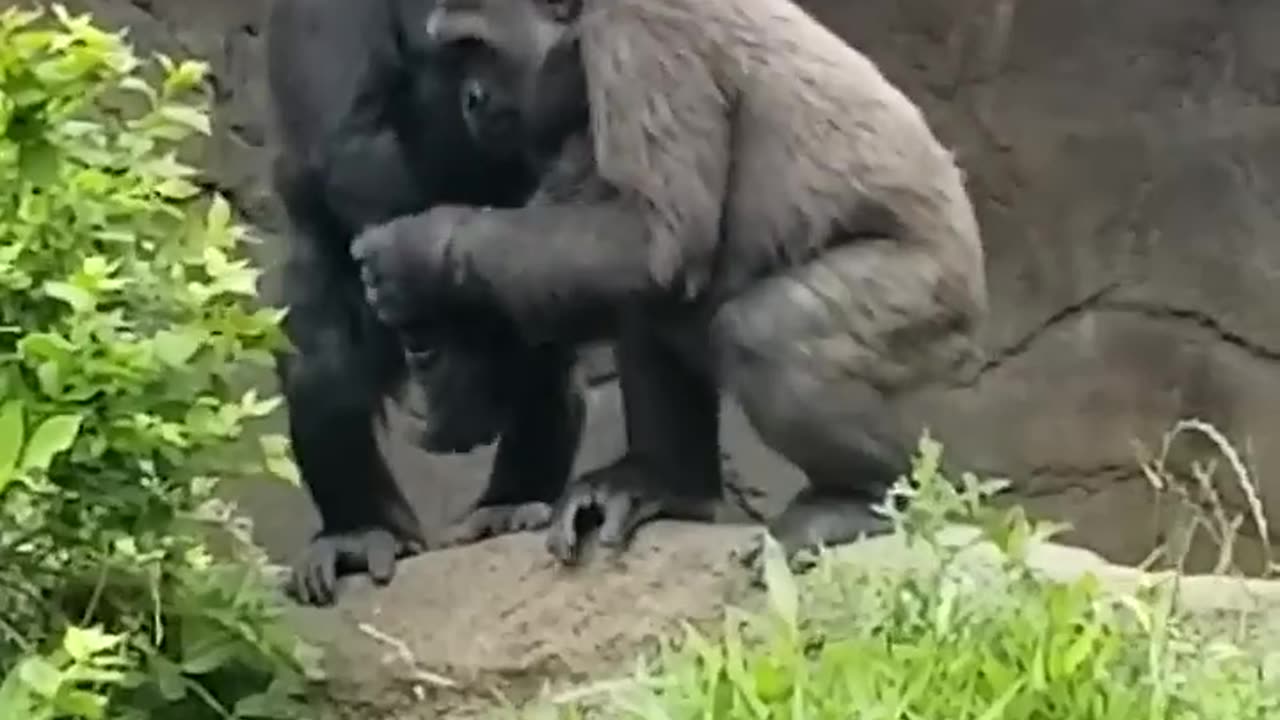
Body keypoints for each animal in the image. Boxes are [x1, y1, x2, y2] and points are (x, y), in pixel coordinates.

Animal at [348, 0, 988, 568]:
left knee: (768, 334)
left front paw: (423, 254)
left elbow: (655, 240)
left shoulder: (637, 31)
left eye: (475, 48)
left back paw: (859, 502)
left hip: (930, 298)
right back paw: (664, 481)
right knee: (649, 306)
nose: (470, 101)